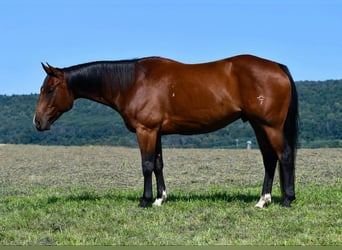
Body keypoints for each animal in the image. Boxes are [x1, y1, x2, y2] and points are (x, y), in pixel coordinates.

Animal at [33, 54, 298, 207]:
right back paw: (263, 200)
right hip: (258, 125)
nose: (37, 121)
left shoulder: (146, 130)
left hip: (270, 126)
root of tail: (278, 67)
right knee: (269, 159)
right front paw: (161, 198)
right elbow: (158, 164)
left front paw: (145, 200)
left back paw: (286, 199)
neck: (133, 82)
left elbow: (147, 164)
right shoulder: (156, 132)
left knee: (284, 156)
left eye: (49, 89)